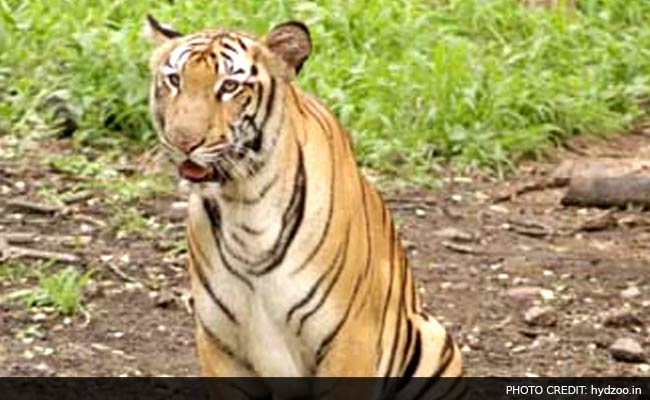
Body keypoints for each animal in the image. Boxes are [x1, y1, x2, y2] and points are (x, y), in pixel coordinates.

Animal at [146, 14, 464, 398]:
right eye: (174, 80)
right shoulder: (221, 346)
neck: (244, 202)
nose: (183, 142)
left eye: (229, 86)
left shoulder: (348, 339)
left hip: (435, 337)